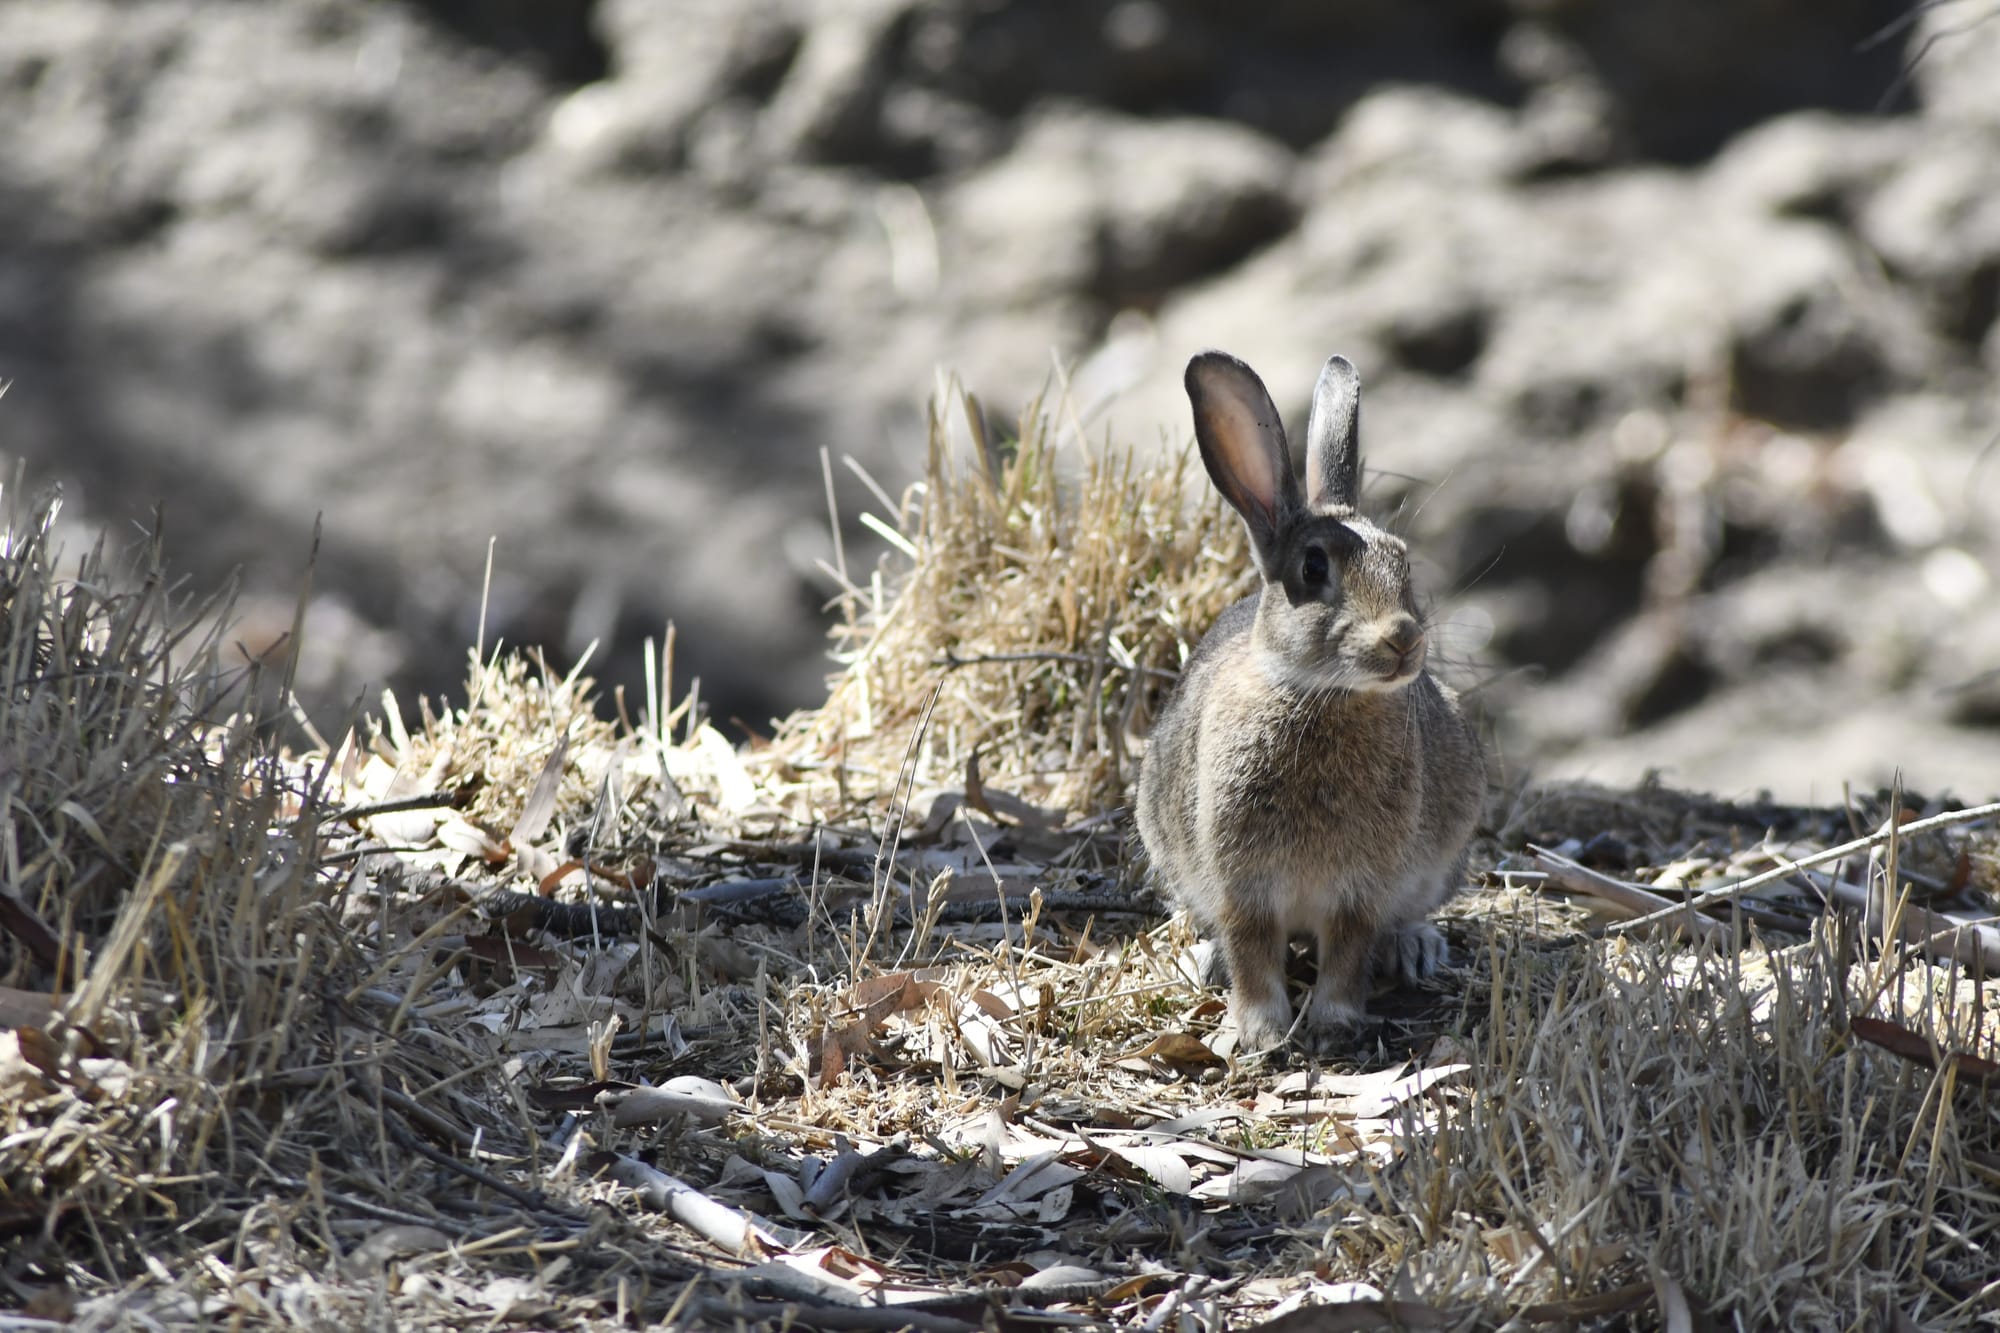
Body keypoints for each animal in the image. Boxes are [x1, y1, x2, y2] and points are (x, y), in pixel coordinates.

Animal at [1136, 350, 1484, 1051]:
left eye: (1404, 564)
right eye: (1314, 568)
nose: (1404, 639)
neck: (1321, 696)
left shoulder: (1360, 889)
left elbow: (1348, 949)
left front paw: (1332, 1024)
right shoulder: (1242, 884)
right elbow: (1250, 949)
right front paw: (1259, 1033)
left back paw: (1414, 948)